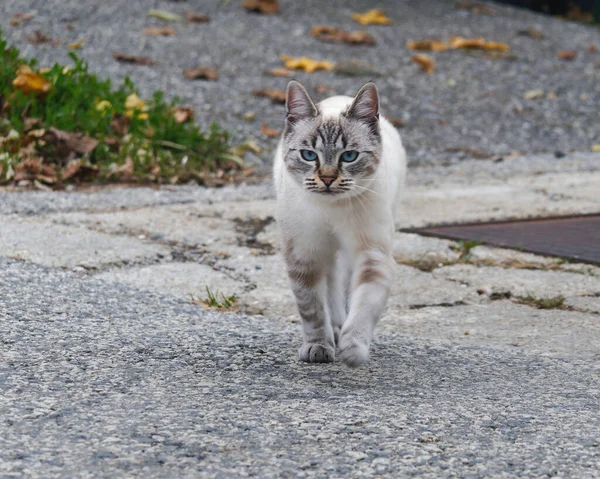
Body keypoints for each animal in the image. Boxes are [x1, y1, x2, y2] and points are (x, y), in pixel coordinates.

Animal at [274, 81, 408, 368]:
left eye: (349, 156)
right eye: (308, 155)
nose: (326, 179)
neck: (331, 211)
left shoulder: (372, 254)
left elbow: (364, 305)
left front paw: (353, 348)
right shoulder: (304, 256)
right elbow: (312, 310)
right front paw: (319, 346)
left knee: (343, 286)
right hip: (324, 253)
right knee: (331, 286)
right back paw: (333, 330)